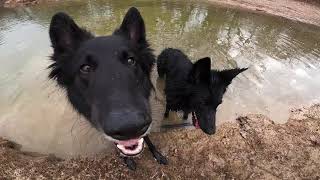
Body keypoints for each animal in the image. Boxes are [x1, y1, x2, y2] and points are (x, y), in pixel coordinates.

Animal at [48, 7, 168, 170]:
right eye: (85, 68)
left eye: (131, 60)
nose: (129, 128)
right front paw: (126, 159)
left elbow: (147, 138)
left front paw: (157, 154)